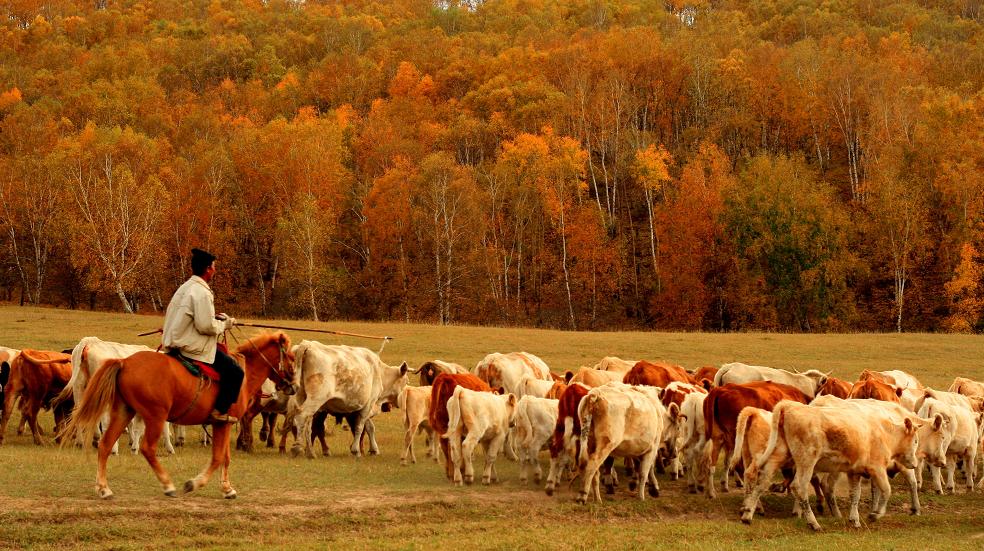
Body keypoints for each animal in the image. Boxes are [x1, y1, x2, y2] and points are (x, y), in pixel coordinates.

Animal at [58, 332, 294, 500]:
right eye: (291, 357)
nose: (291, 386)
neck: (244, 376)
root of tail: (124, 362)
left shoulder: (223, 423)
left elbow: (224, 457)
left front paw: (227, 489)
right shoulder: (224, 423)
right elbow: (219, 457)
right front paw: (195, 484)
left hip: (123, 410)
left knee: (105, 443)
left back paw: (104, 488)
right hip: (155, 414)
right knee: (147, 447)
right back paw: (167, 484)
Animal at [764, 398, 948, 532]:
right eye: (942, 436)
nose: (943, 462)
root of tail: (791, 407)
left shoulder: (858, 471)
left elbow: (863, 492)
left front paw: (862, 515)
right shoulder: (886, 467)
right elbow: (903, 485)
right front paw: (911, 509)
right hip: (809, 462)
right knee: (805, 486)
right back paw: (815, 521)